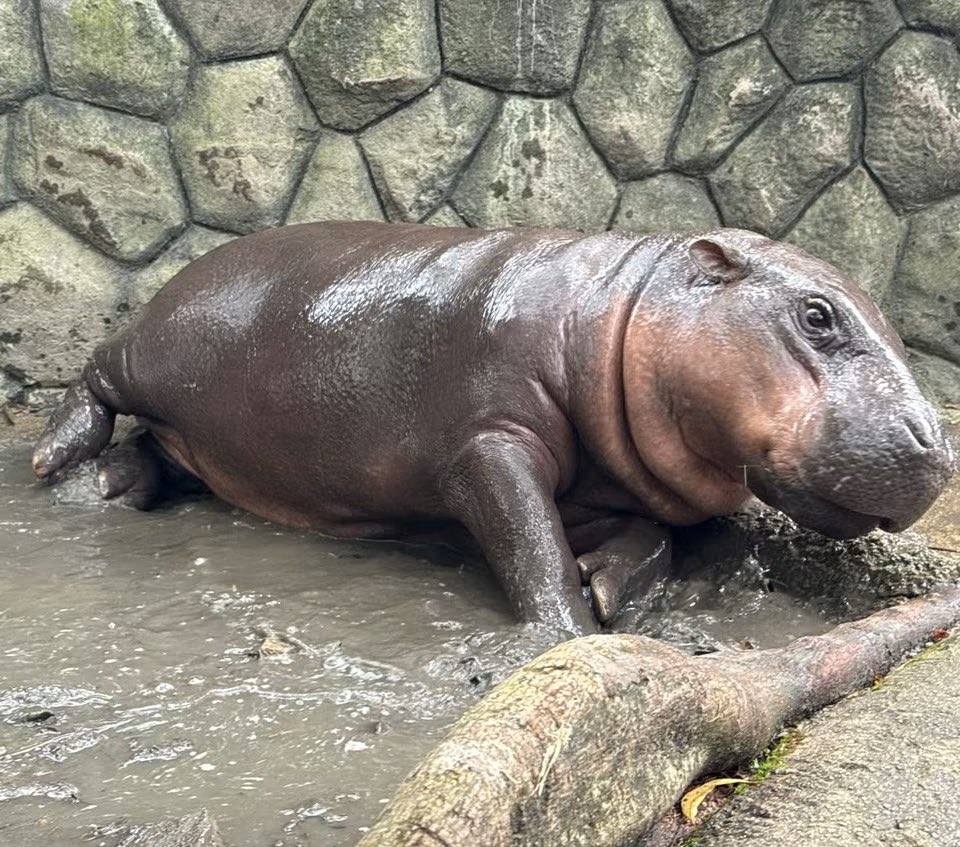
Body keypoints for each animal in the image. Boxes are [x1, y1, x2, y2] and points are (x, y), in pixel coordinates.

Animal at [32, 223, 955, 635]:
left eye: (896, 327)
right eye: (817, 315)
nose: (937, 447)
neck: (618, 313)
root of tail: (193, 262)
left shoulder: (616, 486)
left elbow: (650, 539)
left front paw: (606, 584)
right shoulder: (488, 443)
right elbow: (525, 537)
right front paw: (569, 626)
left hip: (208, 434)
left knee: (159, 449)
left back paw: (109, 485)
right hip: (154, 349)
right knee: (96, 375)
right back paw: (53, 462)